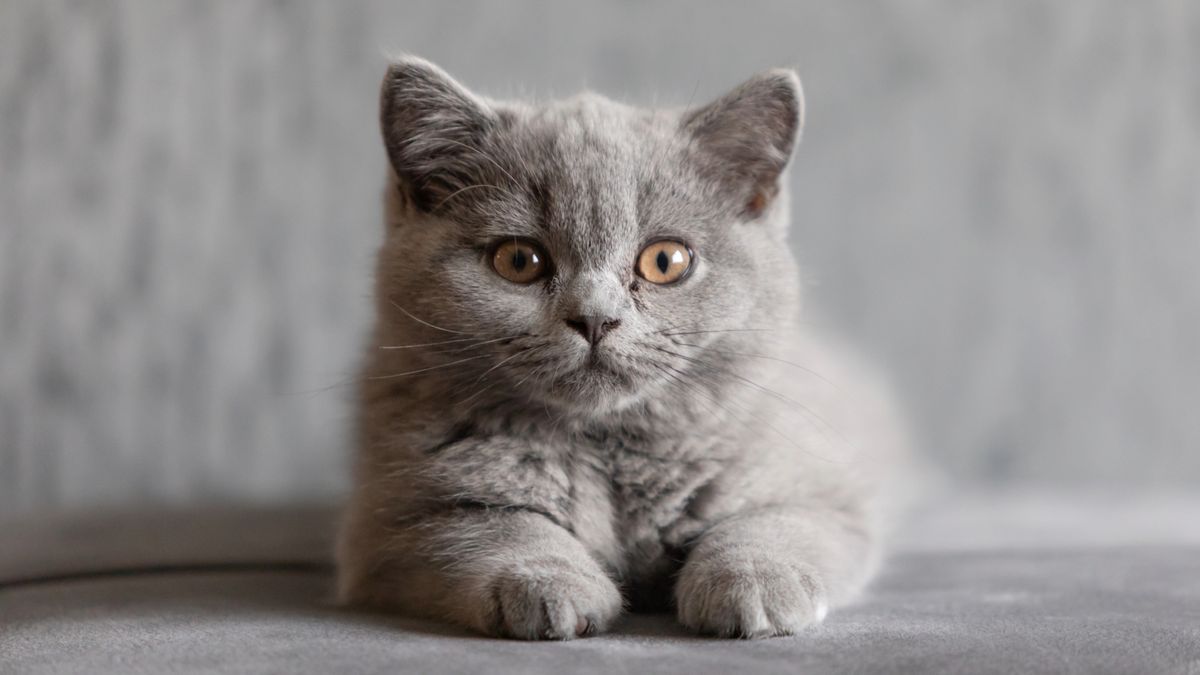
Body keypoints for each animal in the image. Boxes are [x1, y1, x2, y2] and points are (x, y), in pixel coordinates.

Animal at [333, 56, 902, 634]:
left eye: (666, 261)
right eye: (518, 260)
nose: (594, 318)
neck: (606, 446)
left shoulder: (823, 490)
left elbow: (772, 522)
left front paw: (755, 583)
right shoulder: (389, 524)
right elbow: (492, 527)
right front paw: (549, 585)